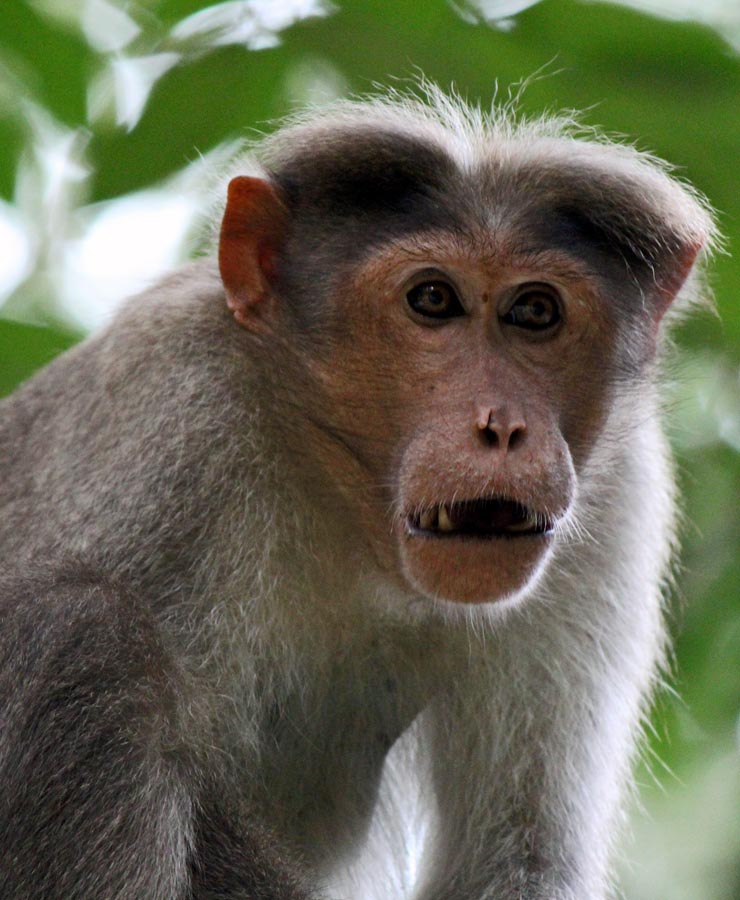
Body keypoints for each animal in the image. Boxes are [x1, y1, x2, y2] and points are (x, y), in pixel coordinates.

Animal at [0, 87, 716, 900]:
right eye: (432, 299)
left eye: (536, 311)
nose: (504, 426)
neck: (345, 502)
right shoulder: (174, 423)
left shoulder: (621, 496)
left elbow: (519, 856)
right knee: (83, 632)